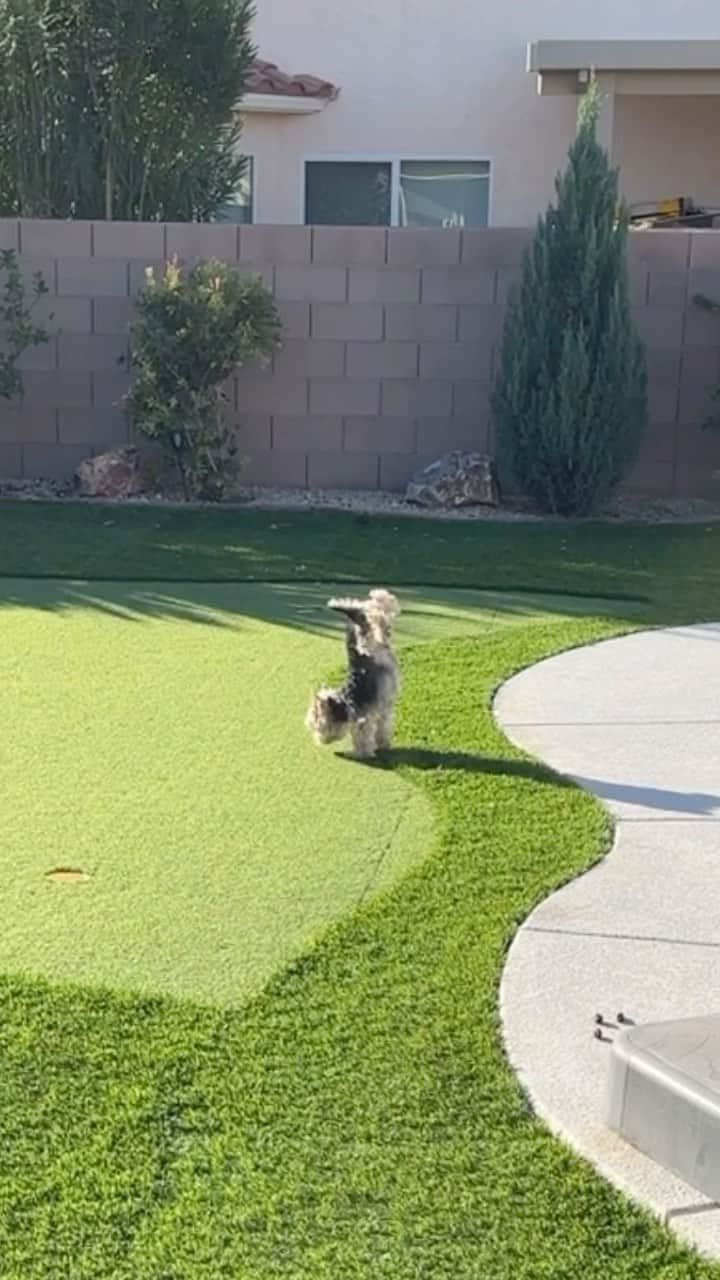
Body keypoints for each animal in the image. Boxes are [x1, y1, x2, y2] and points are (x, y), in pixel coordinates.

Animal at [302, 588, 399, 757]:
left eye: (316, 725)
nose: (319, 740)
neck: (344, 702)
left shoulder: (362, 720)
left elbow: (361, 738)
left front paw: (362, 753)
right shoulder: (381, 711)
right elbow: (382, 728)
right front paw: (383, 743)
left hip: (366, 638)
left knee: (372, 616)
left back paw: (378, 597)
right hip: (372, 637)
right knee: (376, 618)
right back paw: (380, 600)